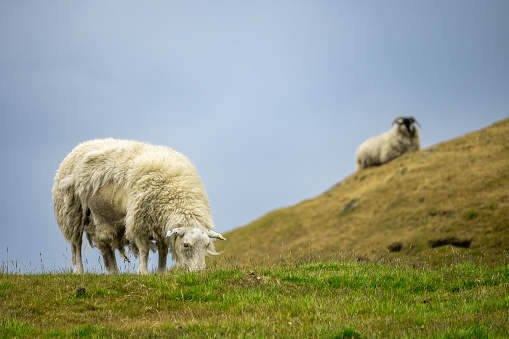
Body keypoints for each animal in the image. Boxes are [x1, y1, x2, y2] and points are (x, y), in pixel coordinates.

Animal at [52, 138, 225, 274]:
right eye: (186, 245)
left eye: (206, 245)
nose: (199, 272)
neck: (178, 193)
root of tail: (81, 145)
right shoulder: (140, 221)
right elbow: (144, 249)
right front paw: (143, 272)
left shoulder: (159, 224)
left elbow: (163, 250)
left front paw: (161, 272)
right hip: (71, 212)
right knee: (76, 244)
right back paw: (78, 270)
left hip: (103, 218)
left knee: (105, 246)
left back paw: (113, 272)